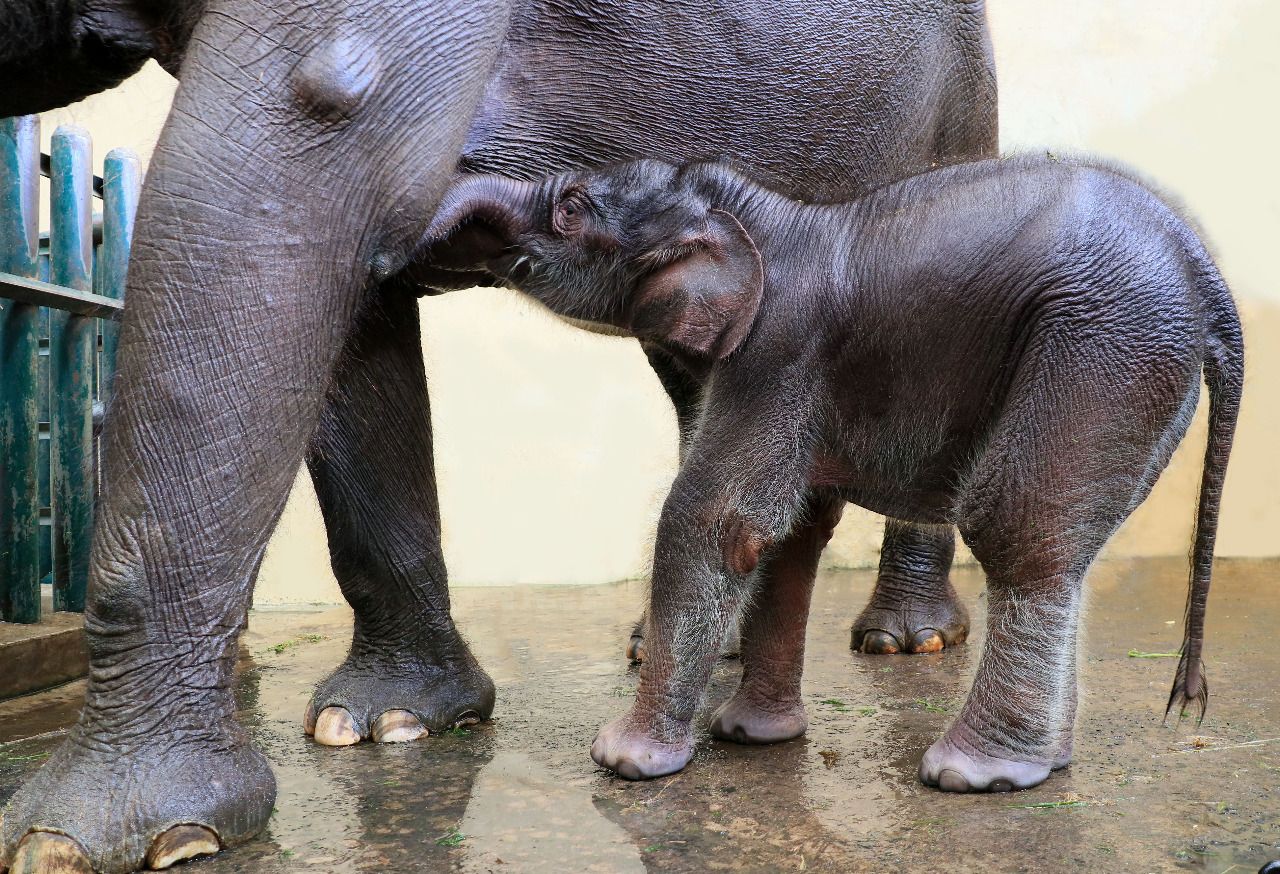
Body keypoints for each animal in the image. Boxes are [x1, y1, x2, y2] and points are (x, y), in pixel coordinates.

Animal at [0, 3, 993, 870]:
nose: (456, 220)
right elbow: (345, 315)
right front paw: (388, 723)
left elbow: (272, 193)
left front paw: (98, 841)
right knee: (694, 379)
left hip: (958, 101)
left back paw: (907, 641)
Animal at [424, 157, 1244, 793]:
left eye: (570, 206)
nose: (423, 259)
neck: (751, 211)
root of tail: (1207, 272)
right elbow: (792, 533)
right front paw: (750, 737)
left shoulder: (777, 350)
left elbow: (720, 521)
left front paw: (623, 760)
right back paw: (1045, 763)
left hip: (1102, 350)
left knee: (1018, 534)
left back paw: (973, 774)